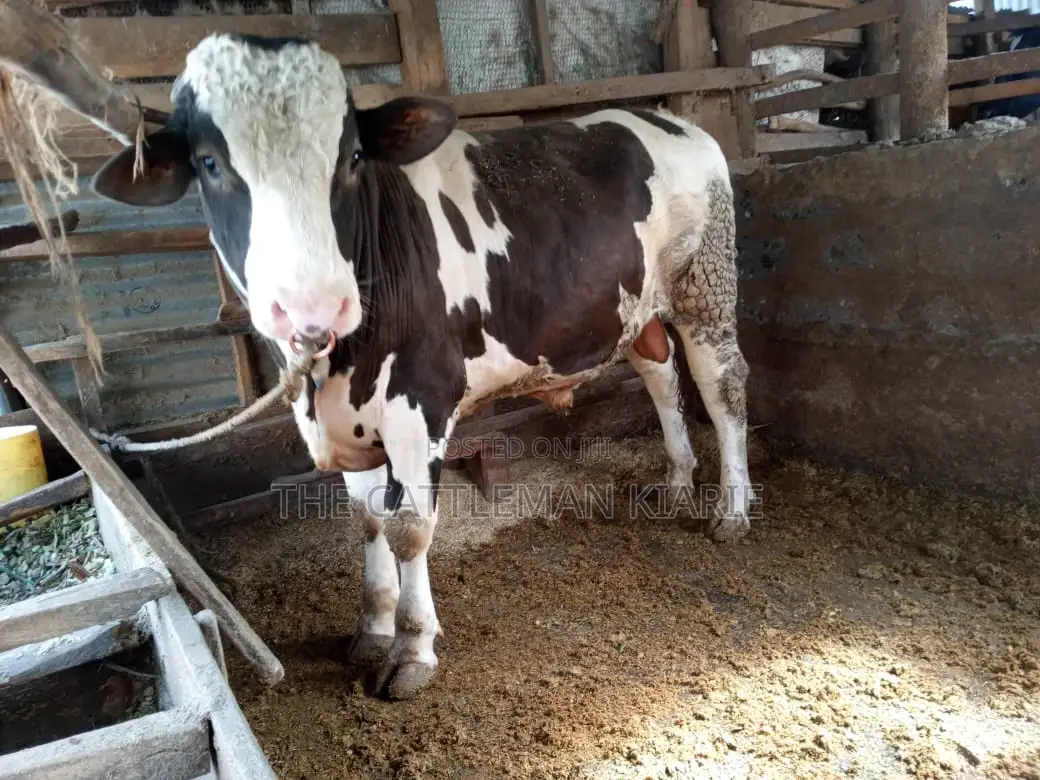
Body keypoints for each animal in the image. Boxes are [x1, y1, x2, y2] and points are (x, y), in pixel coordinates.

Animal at [90, 33, 755, 699]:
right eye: (208, 163)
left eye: (353, 155)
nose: (314, 305)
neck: (331, 376)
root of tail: (669, 119)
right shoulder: (350, 422)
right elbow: (367, 521)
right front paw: (372, 627)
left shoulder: (420, 404)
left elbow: (409, 527)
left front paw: (411, 649)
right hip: (637, 309)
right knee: (661, 376)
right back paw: (676, 481)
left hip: (705, 285)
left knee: (722, 388)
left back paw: (732, 510)